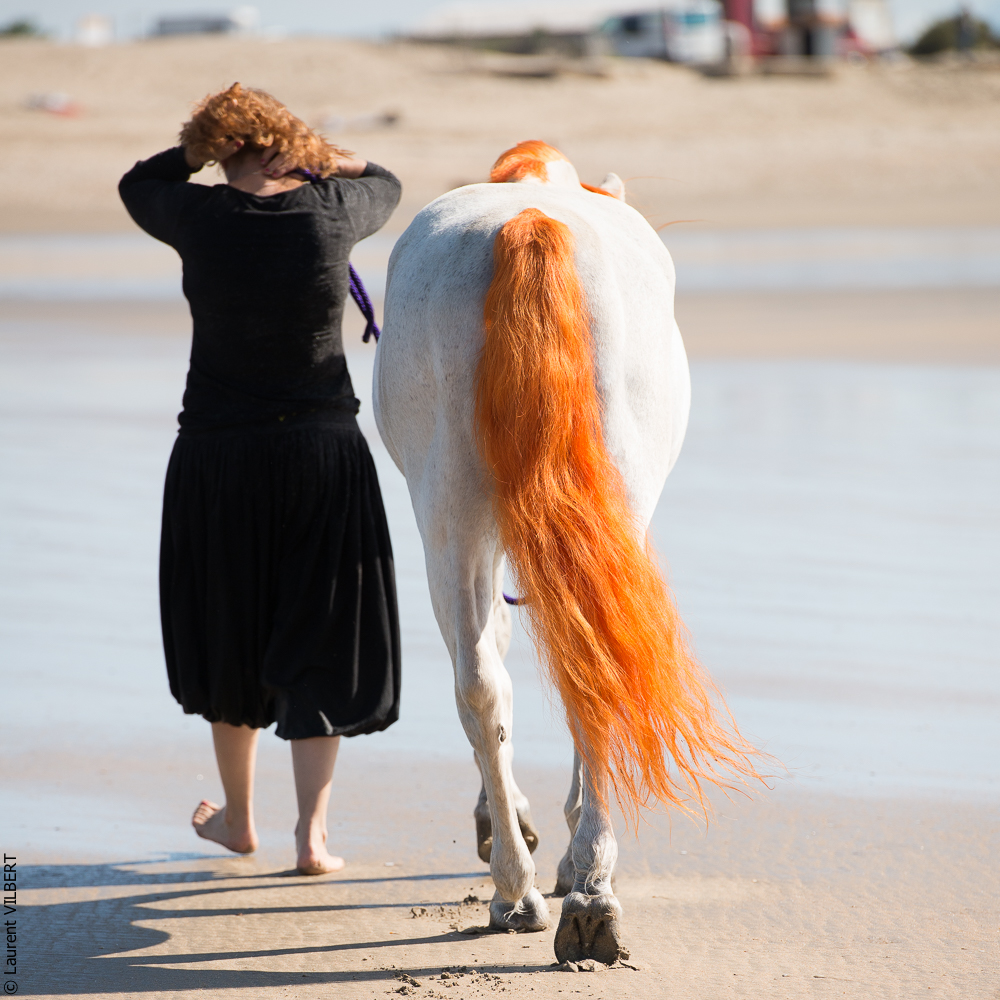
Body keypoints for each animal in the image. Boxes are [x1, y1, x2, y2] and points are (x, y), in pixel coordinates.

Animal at [373, 141, 760, 965]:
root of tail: (531, 220)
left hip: (448, 510)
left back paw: (537, 892)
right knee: (569, 673)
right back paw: (570, 891)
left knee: (483, 682)